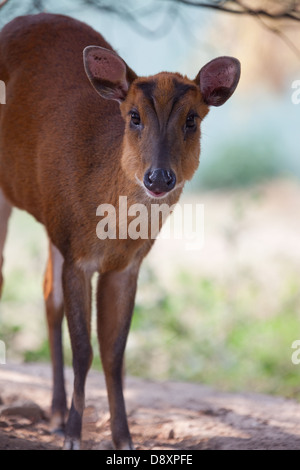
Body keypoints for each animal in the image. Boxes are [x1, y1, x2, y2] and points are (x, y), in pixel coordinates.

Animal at [0, 12, 240, 450]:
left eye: (192, 119)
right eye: (134, 116)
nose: (159, 177)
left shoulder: (126, 265)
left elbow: (114, 351)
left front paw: (122, 437)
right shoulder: (78, 256)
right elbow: (84, 349)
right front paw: (74, 436)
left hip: (51, 221)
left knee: (47, 294)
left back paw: (55, 413)